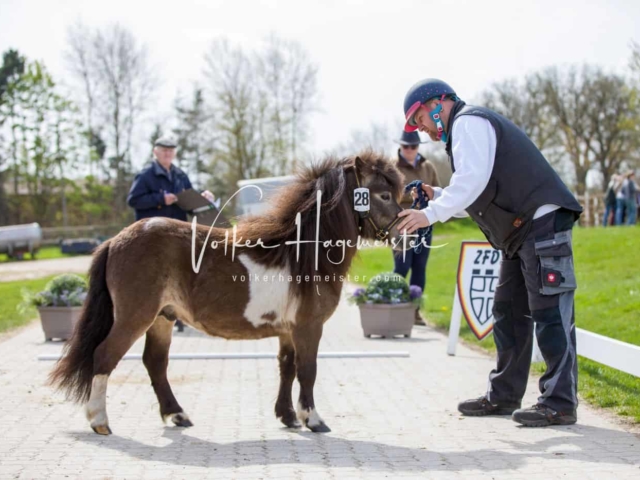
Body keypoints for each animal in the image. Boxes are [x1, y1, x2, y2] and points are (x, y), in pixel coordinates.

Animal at [50, 152, 402, 436]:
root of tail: (116, 240)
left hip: (162, 318)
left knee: (155, 363)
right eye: (384, 194)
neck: (302, 253)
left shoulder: (288, 330)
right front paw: (313, 420)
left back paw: (177, 415)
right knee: (104, 356)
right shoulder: (308, 327)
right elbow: (307, 370)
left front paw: (287, 416)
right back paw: (100, 422)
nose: (404, 234)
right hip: (134, 317)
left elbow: (286, 367)